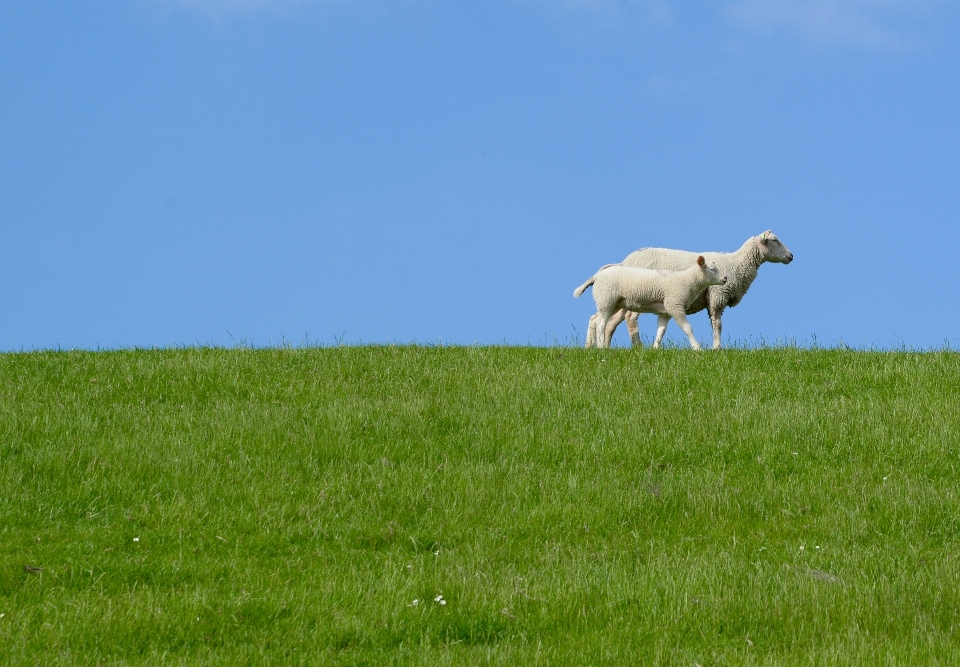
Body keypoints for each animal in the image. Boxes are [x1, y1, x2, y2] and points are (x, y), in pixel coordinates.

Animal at [568, 254, 728, 350]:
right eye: (712, 269)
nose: (725, 278)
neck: (686, 280)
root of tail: (596, 276)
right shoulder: (675, 305)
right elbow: (687, 328)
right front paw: (697, 348)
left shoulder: (666, 311)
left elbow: (661, 330)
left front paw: (655, 348)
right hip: (607, 298)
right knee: (601, 323)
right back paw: (601, 346)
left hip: (611, 303)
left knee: (594, 319)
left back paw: (589, 346)